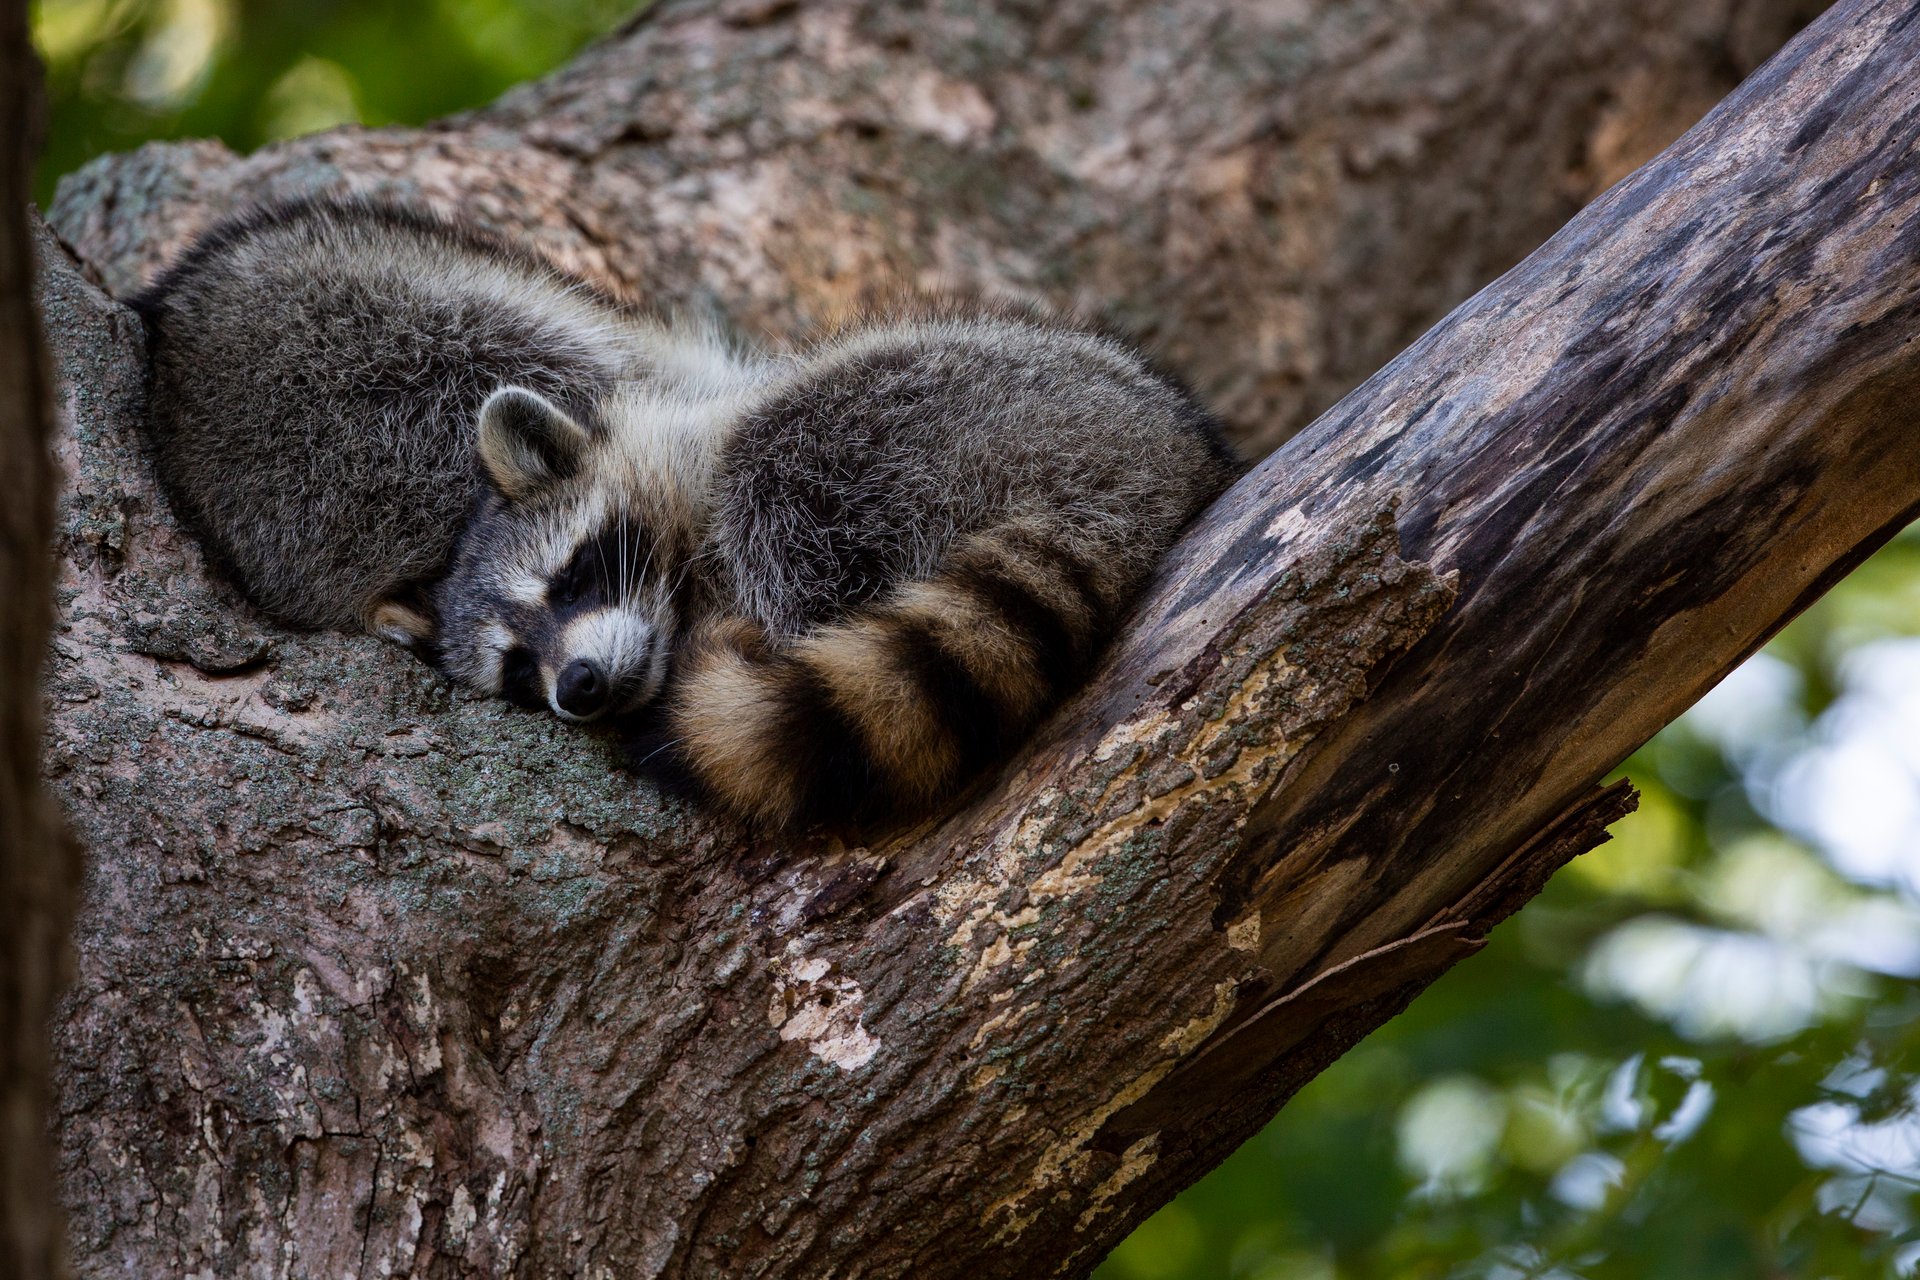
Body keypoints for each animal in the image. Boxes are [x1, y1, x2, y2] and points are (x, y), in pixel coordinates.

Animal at [432, 310, 1244, 832]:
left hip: (935, 410)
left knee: (782, 467)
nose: (577, 687)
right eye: (516, 669)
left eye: (572, 579)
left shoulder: (718, 450)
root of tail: (1142, 462)